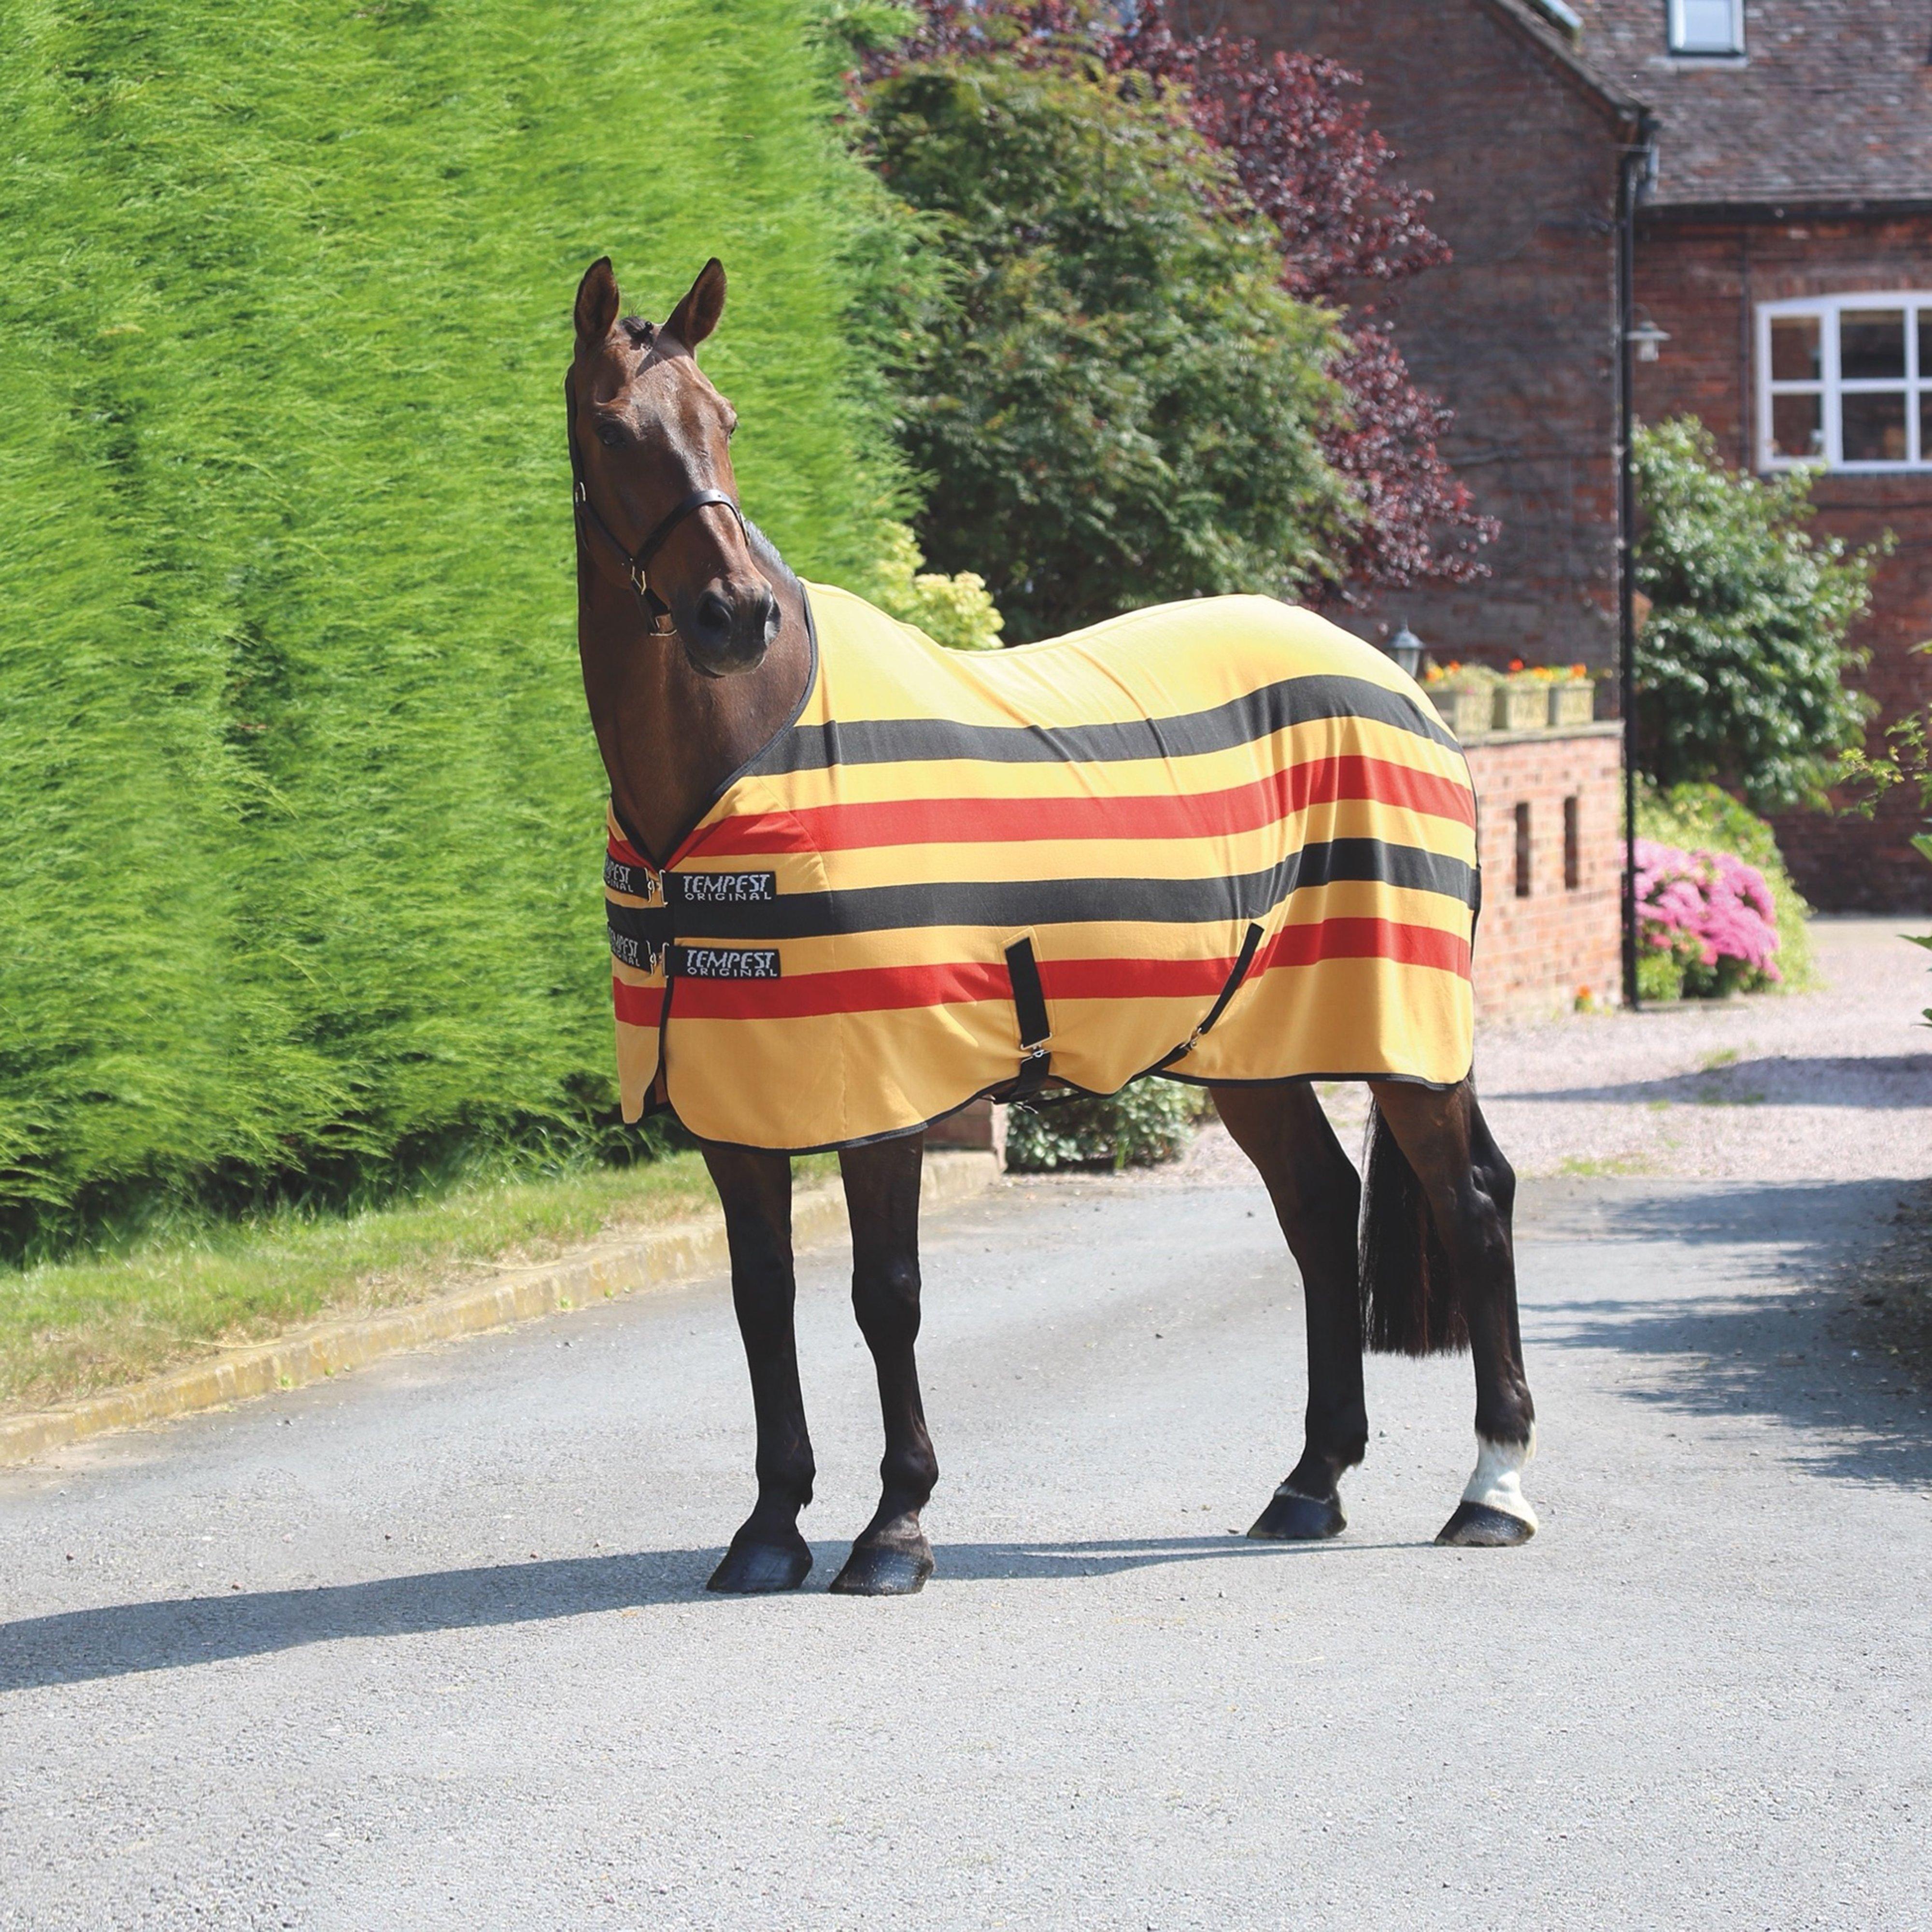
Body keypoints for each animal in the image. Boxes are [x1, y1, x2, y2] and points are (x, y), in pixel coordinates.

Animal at [564, 253, 1538, 1600]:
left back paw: (1491, 1490)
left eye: (726, 422)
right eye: (613, 430)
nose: (734, 616)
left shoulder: (887, 1095)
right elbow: (764, 1295)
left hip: (1404, 1035)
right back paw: (1308, 1483)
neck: (738, 762)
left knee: (1472, 1202)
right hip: (1246, 1049)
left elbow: (885, 1294)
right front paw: (767, 1530)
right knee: (1315, 1207)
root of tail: (1405, 691)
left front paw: (894, 1528)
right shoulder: (732, 1099)